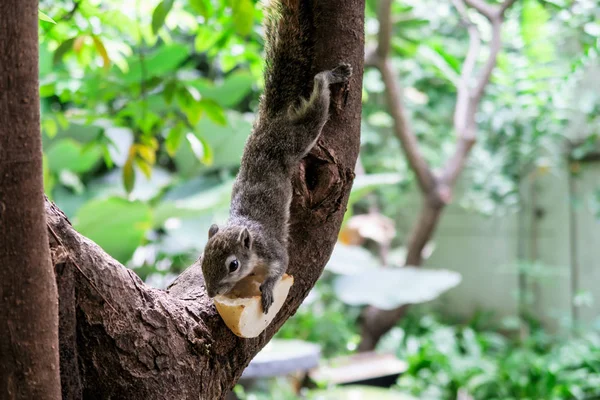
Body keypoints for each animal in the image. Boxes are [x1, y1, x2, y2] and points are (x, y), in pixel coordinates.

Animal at [202, 0, 352, 316]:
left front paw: (269, 289)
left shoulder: (273, 250)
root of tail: (268, 124)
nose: (211, 292)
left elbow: (282, 265)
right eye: (202, 258)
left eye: (233, 265)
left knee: (317, 97)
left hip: (297, 138)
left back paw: (333, 76)